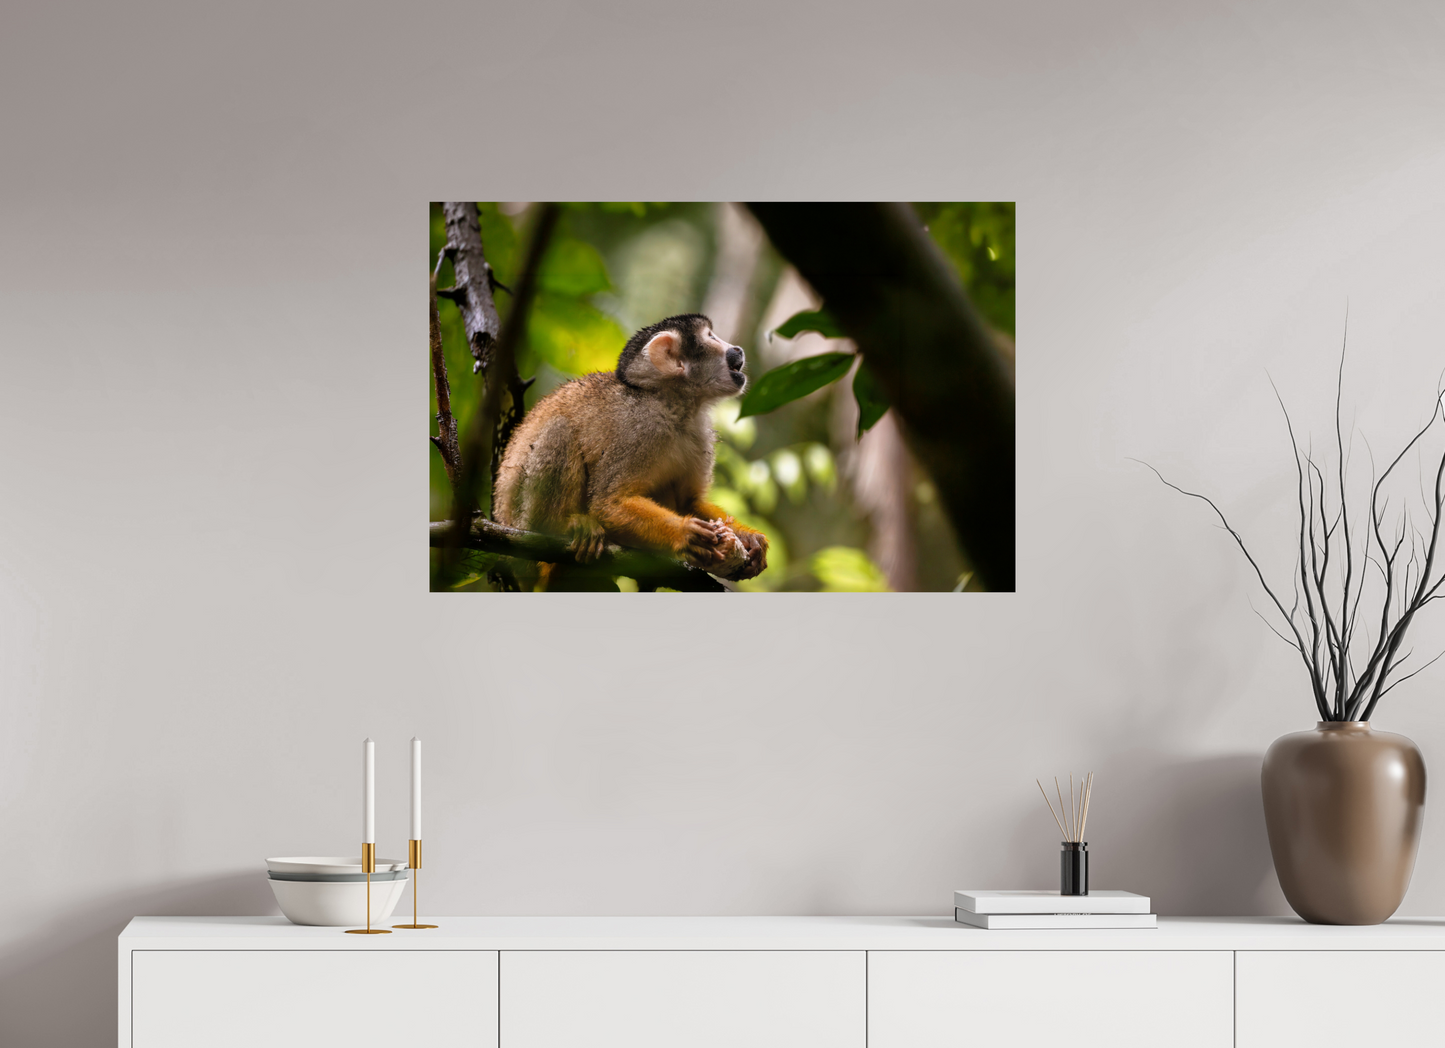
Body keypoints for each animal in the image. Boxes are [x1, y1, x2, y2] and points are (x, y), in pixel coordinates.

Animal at [494, 313, 769, 582]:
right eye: (711, 337)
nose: (737, 350)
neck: (673, 407)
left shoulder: (700, 433)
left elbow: (688, 502)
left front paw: (747, 537)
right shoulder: (640, 429)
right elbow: (608, 503)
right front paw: (685, 534)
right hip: (522, 522)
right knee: (559, 430)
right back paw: (561, 536)